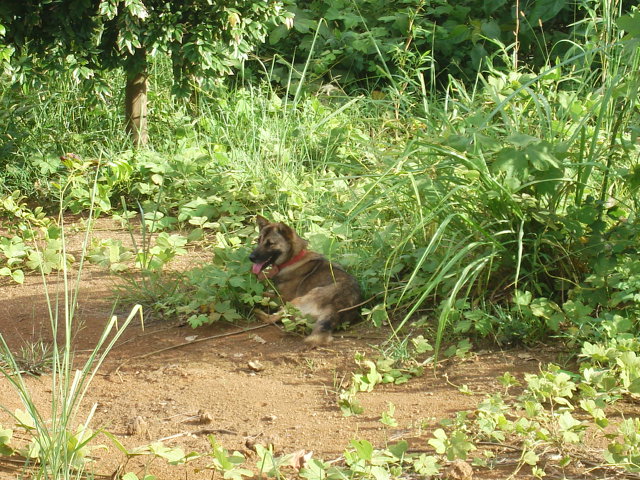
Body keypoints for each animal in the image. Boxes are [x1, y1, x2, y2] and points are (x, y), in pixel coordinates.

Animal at [249, 215, 362, 344]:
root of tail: (336, 307)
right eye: (259, 241)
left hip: (295, 301)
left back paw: (256, 311)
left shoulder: (283, 298)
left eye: (270, 244)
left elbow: (264, 295)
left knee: (271, 318)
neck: (293, 258)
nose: (250, 258)